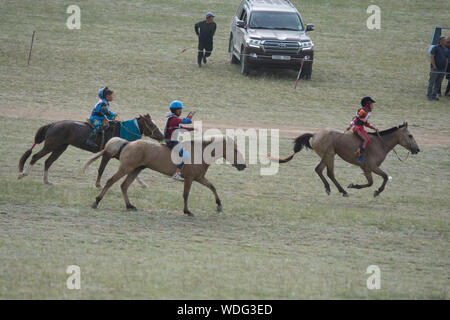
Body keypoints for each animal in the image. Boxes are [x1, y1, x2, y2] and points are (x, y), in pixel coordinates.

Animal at [18, 114, 165, 185]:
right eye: (151, 124)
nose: (162, 136)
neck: (122, 131)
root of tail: (53, 124)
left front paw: (143, 184)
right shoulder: (107, 154)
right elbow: (101, 169)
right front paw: (98, 185)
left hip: (60, 148)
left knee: (48, 162)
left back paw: (47, 181)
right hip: (51, 146)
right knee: (35, 157)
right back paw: (23, 174)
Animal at [268, 122, 420, 198]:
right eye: (410, 135)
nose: (417, 149)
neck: (380, 143)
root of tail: (315, 134)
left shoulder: (366, 168)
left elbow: (372, 181)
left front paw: (356, 186)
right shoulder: (371, 167)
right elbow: (382, 177)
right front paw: (376, 191)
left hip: (327, 156)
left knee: (319, 170)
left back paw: (329, 188)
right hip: (330, 155)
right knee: (329, 173)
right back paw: (342, 191)